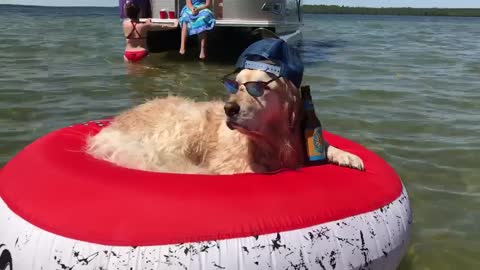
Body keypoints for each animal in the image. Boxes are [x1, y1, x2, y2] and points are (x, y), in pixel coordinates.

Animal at [86, 66, 364, 174]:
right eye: (236, 84)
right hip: (186, 120)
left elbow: (323, 145)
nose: (229, 108)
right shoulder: (229, 161)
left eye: (257, 88)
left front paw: (348, 156)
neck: (271, 139)